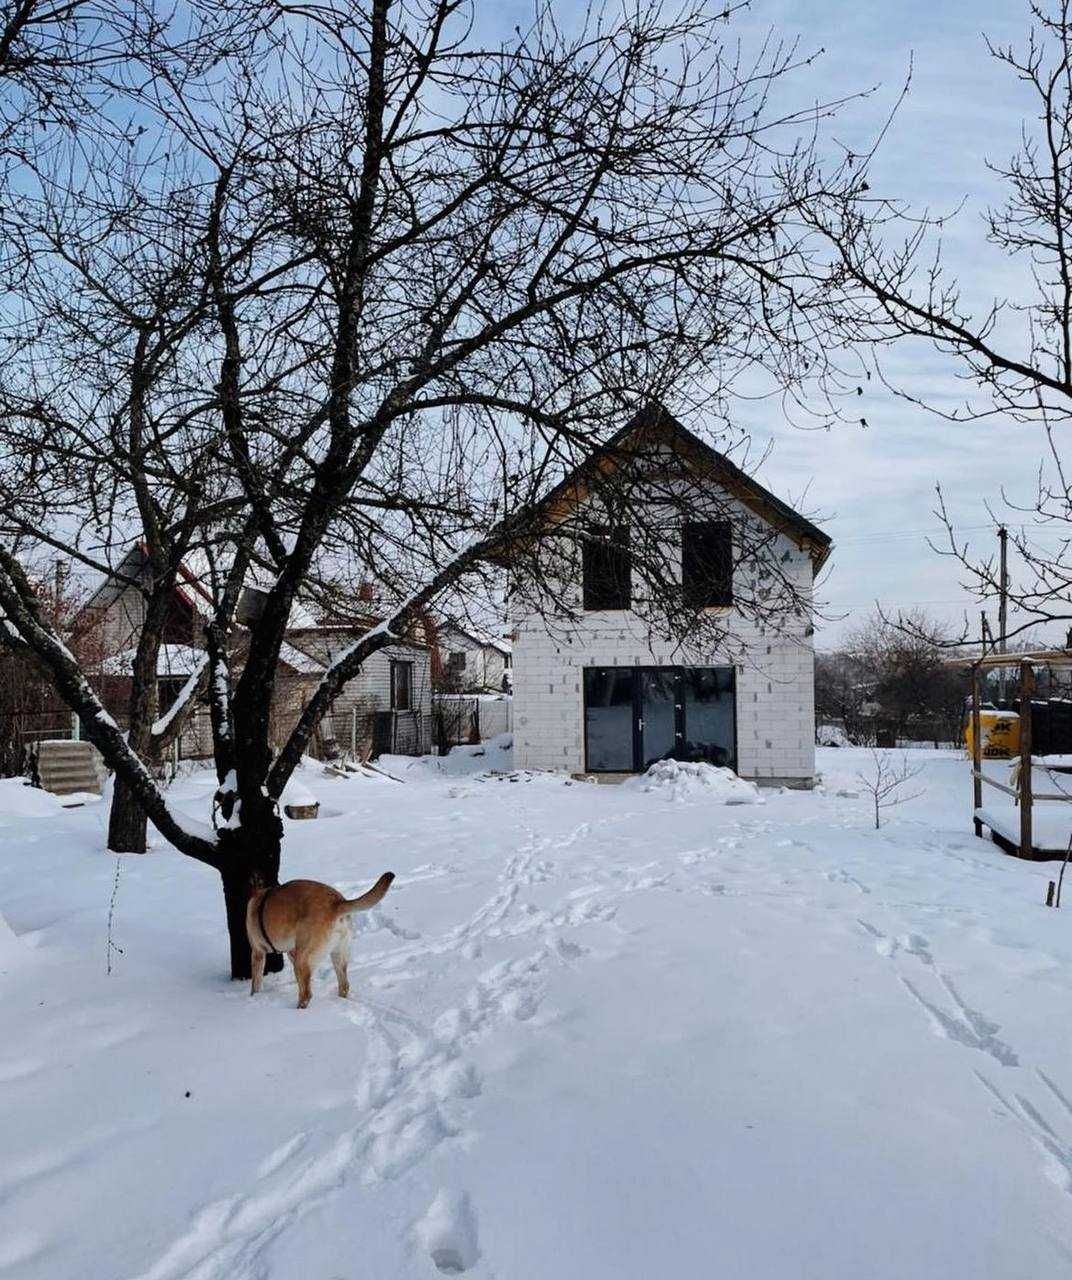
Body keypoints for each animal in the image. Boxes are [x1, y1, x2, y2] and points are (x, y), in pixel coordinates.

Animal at [246, 875, 394, 1003]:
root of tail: (337, 902)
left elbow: (255, 984)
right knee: (344, 985)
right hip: (337, 955)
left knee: (306, 995)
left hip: (303, 958)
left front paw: (253, 997)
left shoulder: (257, 952)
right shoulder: (291, 951)